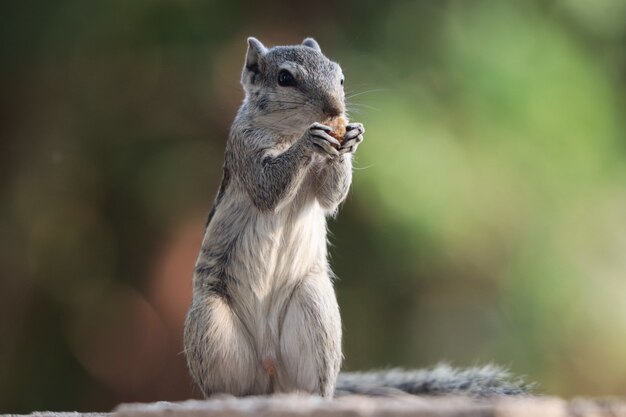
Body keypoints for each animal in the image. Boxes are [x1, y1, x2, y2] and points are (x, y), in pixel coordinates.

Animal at [183, 35, 528, 396]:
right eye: (285, 78)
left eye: (341, 77)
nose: (335, 111)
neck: (288, 132)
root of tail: (270, 372)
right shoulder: (244, 149)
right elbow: (267, 187)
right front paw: (311, 139)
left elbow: (331, 196)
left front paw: (351, 138)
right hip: (211, 323)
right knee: (227, 386)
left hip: (315, 308)